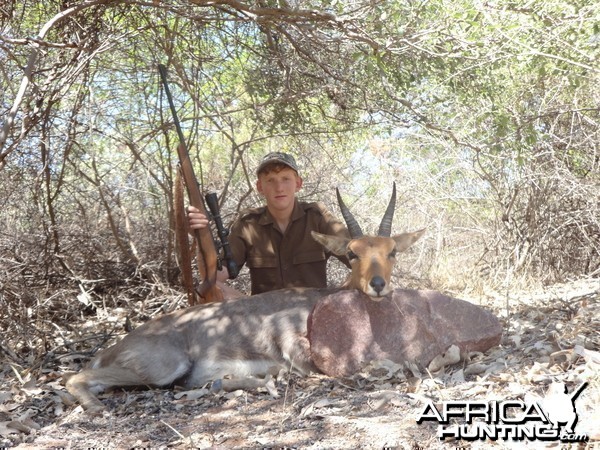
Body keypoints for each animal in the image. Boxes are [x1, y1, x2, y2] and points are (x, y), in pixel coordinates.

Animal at [64, 183, 422, 412]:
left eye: (391, 251)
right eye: (351, 253)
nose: (378, 285)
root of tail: (115, 346)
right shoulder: (299, 351)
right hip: (162, 369)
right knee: (75, 377)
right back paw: (97, 410)